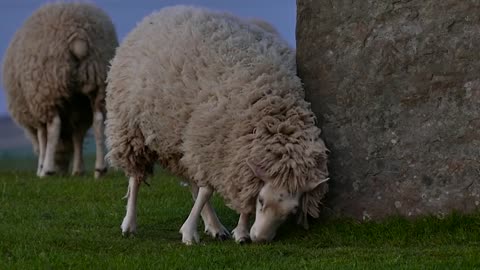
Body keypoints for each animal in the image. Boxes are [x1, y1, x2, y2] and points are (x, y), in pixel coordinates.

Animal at [1, 3, 118, 178]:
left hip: (48, 84)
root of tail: (78, 33)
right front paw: (78, 170)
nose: (61, 171)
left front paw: (41, 167)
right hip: (97, 79)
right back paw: (99, 170)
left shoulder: (37, 109)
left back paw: (47, 170)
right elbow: (78, 136)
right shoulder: (78, 112)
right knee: (98, 121)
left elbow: (43, 137)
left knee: (54, 125)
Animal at [106, 5, 330, 245]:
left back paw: (213, 225)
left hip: (181, 140)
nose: (260, 239)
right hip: (130, 129)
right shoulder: (214, 142)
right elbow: (207, 191)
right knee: (135, 179)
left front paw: (241, 232)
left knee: (192, 182)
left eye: (292, 211)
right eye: (261, 201)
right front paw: (189, 232)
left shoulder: (232, 153)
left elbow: (230, 191)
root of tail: (163, 12)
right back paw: (129, 223)